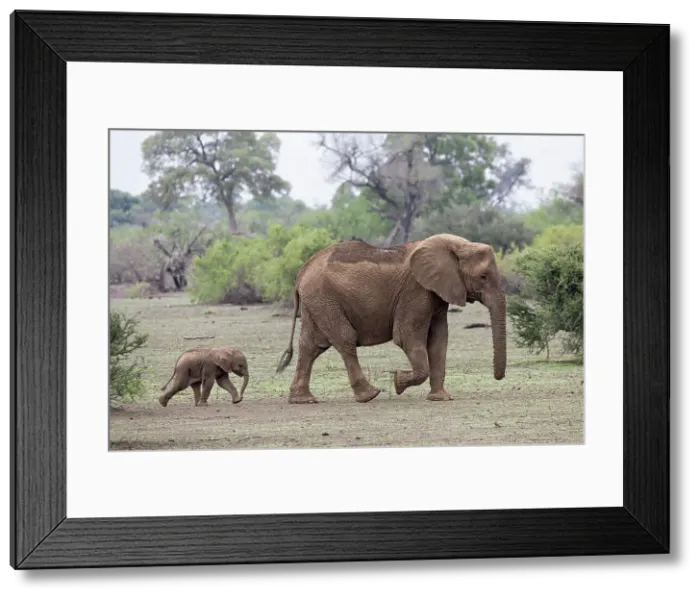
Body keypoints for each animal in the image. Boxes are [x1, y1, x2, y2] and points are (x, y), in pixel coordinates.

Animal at [275, 233, 506, 404]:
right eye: (483, 277)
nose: (498, 378)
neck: (455, 246)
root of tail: (301, 273)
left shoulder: (437, 293)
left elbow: (439, 340)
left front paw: (441, 398)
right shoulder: (416, 291)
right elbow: (407, 337)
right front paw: (398, 382)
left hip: (316, 303)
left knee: (311, 345)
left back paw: (303, 400)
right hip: (324, 299)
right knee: (345, 339)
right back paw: (370, 395)